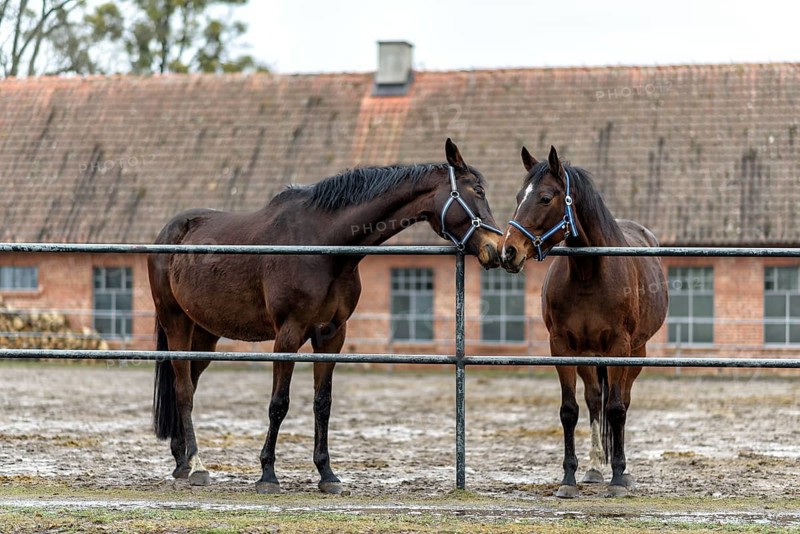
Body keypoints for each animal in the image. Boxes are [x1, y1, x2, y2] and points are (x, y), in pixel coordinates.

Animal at [148, 139, 503, 494]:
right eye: (478, 191)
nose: (497, 249)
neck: (324, 244)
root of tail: (168, 233)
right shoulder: (288, 335)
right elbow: (279, 403)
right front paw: (268, 474)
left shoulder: (332, 335)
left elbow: (323, 403)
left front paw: (326, 474)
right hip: (176, 323)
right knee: (184, 390)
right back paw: (197, 466)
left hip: (204, 333)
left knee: (187, 385)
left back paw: (181, 461)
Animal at [499, 145, 668, 498]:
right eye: (520, 196)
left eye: (545, 198)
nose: (508, 251)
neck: (589, 273)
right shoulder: (562, 346)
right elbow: (570, 410)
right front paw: (569, 479)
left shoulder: (619, 347)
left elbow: (616, 409)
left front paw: (618, 478)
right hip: (589, 355)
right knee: (593, 400)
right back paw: (593, 467)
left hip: (636, 352)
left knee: (622, 401)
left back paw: (622, 471)